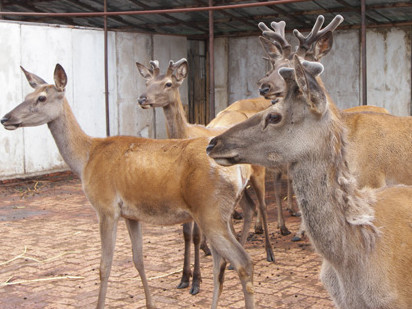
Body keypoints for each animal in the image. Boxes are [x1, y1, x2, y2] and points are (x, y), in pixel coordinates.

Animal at [0, 63, 254, 308]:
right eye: (27, 94)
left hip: (209, 211)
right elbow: (138, 259)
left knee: (242, 262)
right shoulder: (132, 215)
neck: (86, 158)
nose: (6, 118)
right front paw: (151, 304)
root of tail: (239, 171)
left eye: (41, 98)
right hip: (220, 213)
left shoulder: (106, 208)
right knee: (220, 263)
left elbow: (104, 265)